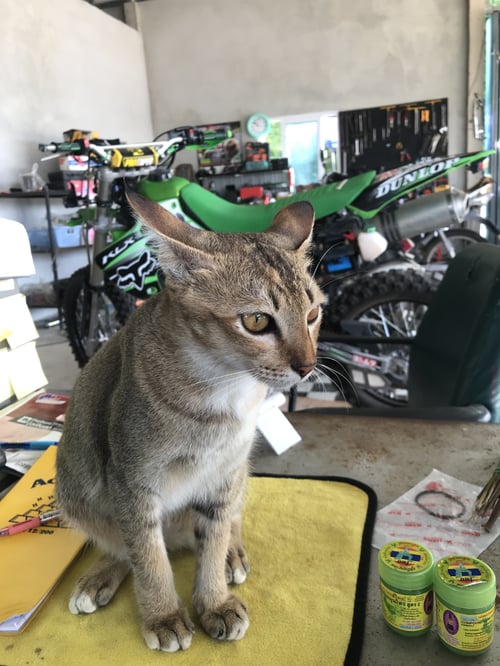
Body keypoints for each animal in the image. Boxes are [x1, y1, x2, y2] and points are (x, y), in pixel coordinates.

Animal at [56, 193, 324, 652]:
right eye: (257, 321)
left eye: (313, 314)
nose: (307, 367)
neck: (222, 391)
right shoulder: (132, 483)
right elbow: (147, 557)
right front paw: (163, 615)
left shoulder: (223, 474)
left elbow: (213, 541)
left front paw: (213, 599)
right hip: (73, 491)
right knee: (123, 546)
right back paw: (100, 576)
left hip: (239, 472)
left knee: (231, 519)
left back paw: (233, 553)